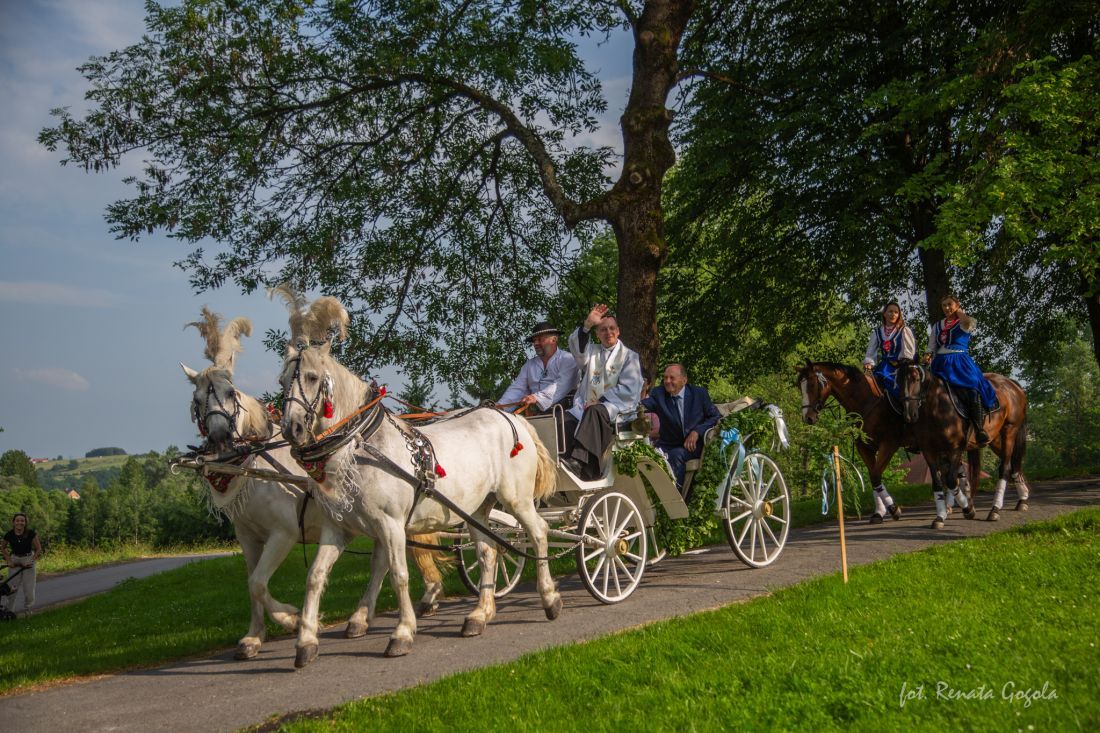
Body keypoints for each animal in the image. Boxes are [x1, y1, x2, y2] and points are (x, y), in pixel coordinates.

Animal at [182, 309, 450, 660]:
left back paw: (419, 598)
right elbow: (252, 584)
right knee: (381, 562)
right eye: (197, 399)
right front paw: (255, 636)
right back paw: (361, 617)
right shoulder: (248, 537)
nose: (219, 437)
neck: (256, 465)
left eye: (230, 393)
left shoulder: (283, 533)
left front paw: (293, 619)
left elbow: (258, 583)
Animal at [274, 289, 561, 668]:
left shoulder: (391, 524)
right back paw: (479, 615)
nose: (291, 429)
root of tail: (513, 418)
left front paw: (402, 632)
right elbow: (316, 577)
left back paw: (549, 598)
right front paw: (306, 641)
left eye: (309, 377)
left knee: (539, 533)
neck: (360, 447)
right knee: (488, 551)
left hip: (516, 499)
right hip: (478, 509)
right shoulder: (339, 527)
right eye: (281, 381)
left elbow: (398, 575)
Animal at [896, 361, 1030, 527]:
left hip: (1009, 431)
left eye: (915, 379)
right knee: (1013, 463)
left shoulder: (954, 448)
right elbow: (939, 482)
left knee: (1005, 468)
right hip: (995, 439)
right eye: (897, 381)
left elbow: (952, 480)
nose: (909, 414)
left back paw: (995, 509)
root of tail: (1011, 383)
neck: (936, 407)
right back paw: (1022, 499)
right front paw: (941, 516)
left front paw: (967, 509)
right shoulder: (929, 451)